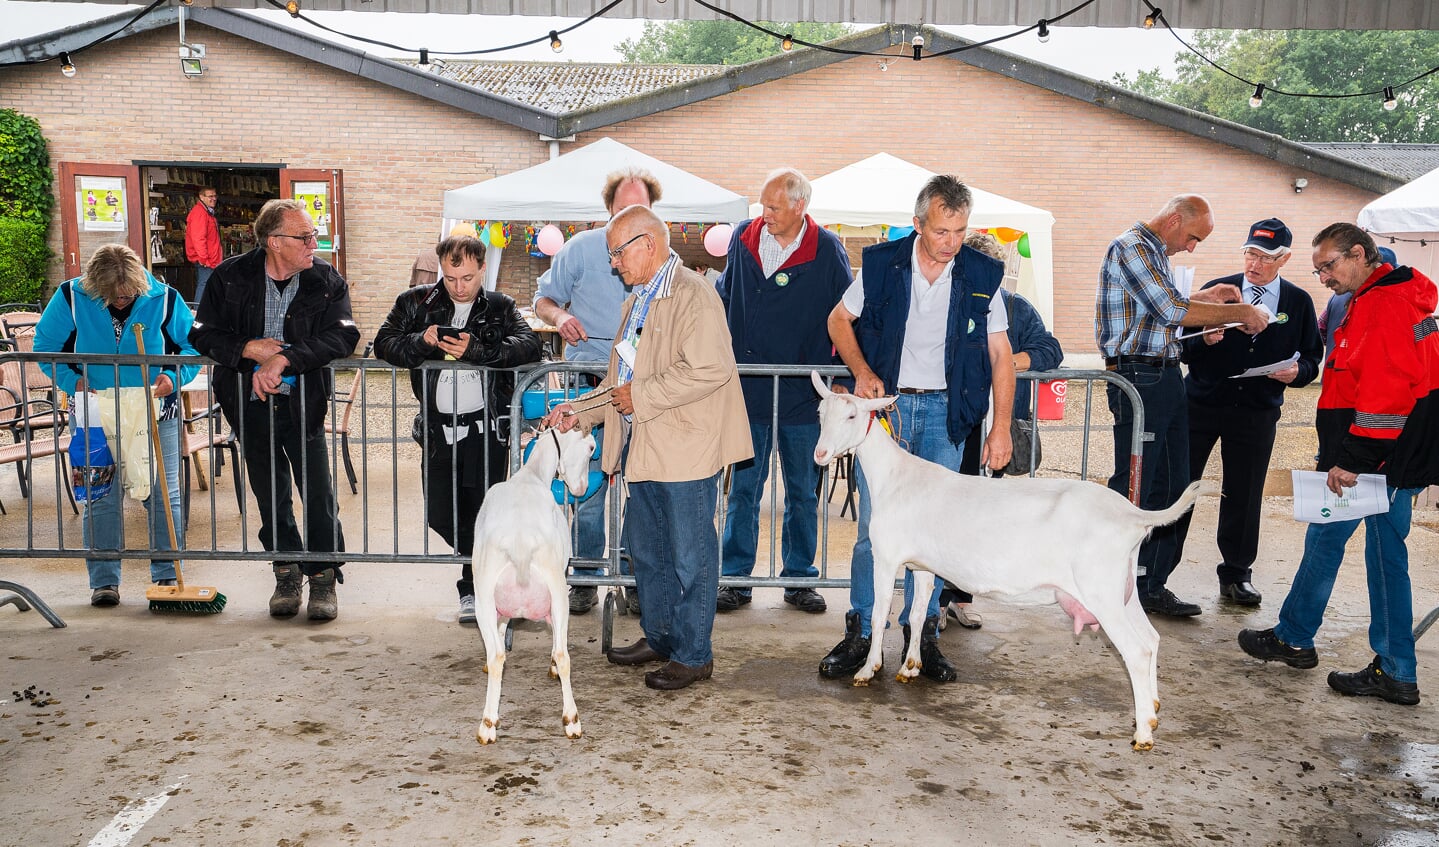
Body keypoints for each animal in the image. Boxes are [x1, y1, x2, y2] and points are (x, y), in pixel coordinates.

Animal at [471, 425, 595, 742]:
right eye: (591, 447)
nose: (580, 489)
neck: (531, 475)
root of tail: (520, 543)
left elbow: (502, 633)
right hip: (557, 588)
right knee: (563, 655)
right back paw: (572, 720)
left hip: (484, 595)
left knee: (497, 656)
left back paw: (488, 724)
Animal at [817, 371, 1208, 747]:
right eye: (821, 413)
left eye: (852, 415)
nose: (820, 454)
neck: (895, 478)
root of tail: (1133, 515)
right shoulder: (924, 566)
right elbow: (915, 613)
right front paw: (910, 667)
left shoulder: (886, 557)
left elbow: (880, 612)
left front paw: (868, 670)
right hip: (1122, 586)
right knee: (1152, 639)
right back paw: (1152, 711)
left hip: (1101, 591)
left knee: (1137, 651)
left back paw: (1142, 734)